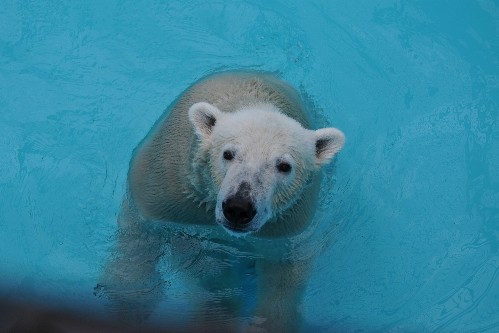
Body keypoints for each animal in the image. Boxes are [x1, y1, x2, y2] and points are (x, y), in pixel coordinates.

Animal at [101, 70, 344, 332]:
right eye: (228, 154)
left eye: (284, 166)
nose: (238, 208)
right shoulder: (182, 207)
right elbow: (206, 266)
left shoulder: (287, 225)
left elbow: (284, 276)